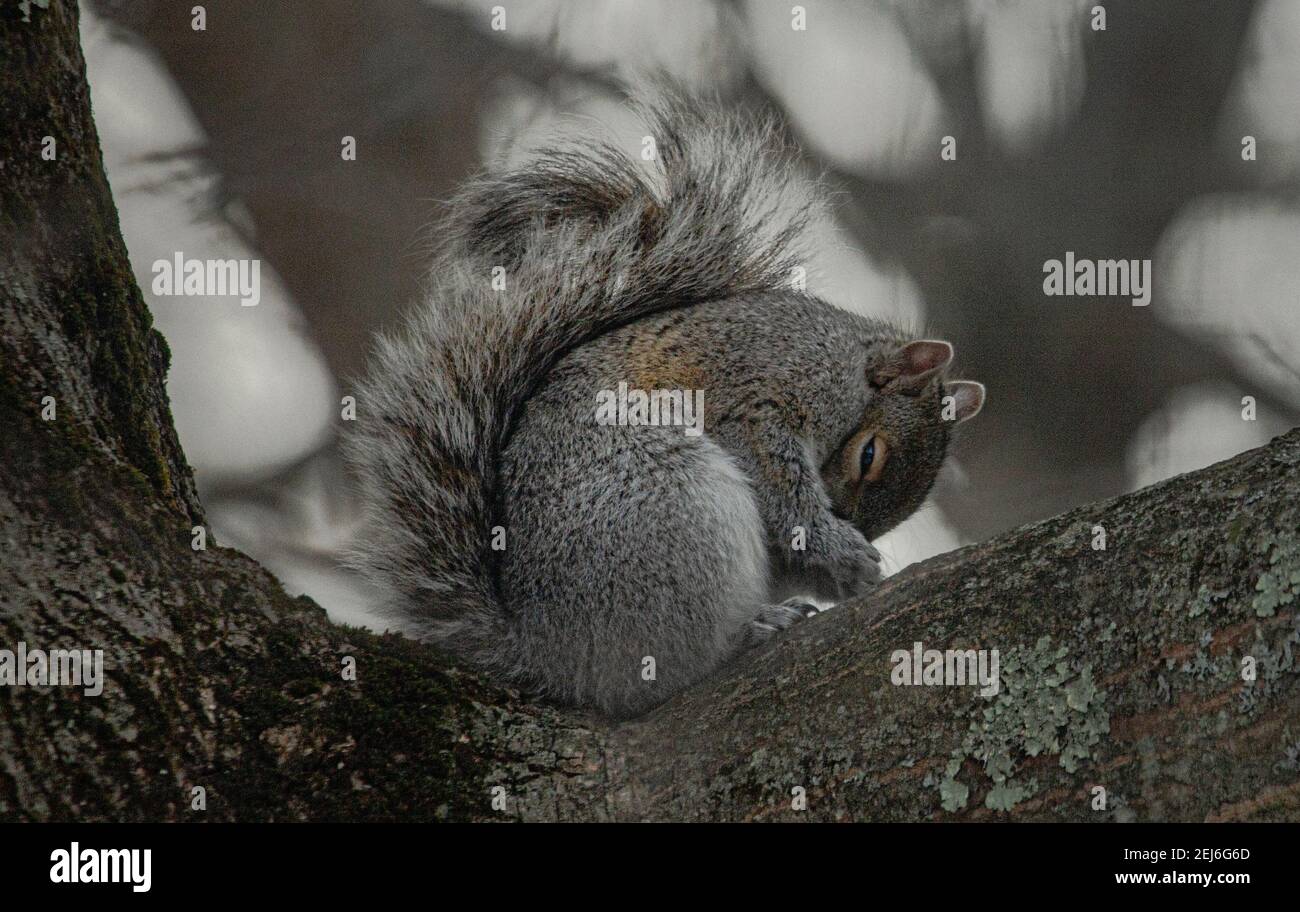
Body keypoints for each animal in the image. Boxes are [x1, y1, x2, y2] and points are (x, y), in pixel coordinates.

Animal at [343, 93, 985, 719]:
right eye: (870, 455)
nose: (851, 523)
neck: (845, 359)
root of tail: (549, 652)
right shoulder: (761, 393)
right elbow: (779, 481)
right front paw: (838, 546)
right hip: (672, 503)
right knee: (666, 672)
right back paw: (747, 633)